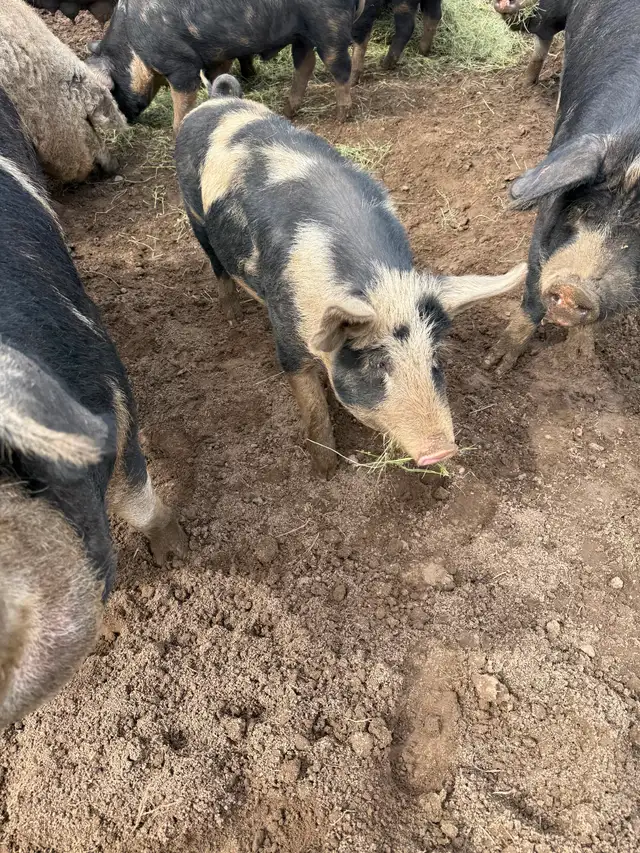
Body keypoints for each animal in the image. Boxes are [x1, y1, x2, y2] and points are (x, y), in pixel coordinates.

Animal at [86, 0, 366, 136]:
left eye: (112, 91)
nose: (127, 121)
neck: (134, 46)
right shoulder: (217, 57)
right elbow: (217, 79)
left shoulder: (180, 65)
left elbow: (182, 106)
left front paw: (177, 132)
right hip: (302, 34)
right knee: (305, 64)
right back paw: (288, 111)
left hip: (328, 25)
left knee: (339, 66)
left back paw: (341, 116)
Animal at [175, 75, 526, 478]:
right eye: (377, 363)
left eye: (434, 357)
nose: (441, 452)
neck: (380, 284)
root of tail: (218, 99)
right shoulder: (286, 328)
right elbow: (311, 404)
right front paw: (326, 470)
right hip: (194, 213)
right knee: (215, 262)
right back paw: (231, 317)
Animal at [486, 0, 640, 375]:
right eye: (583, 209)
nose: (574, 288)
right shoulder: (548, 208)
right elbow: (532, 282)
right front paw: (496, 365)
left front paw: (582, 360)